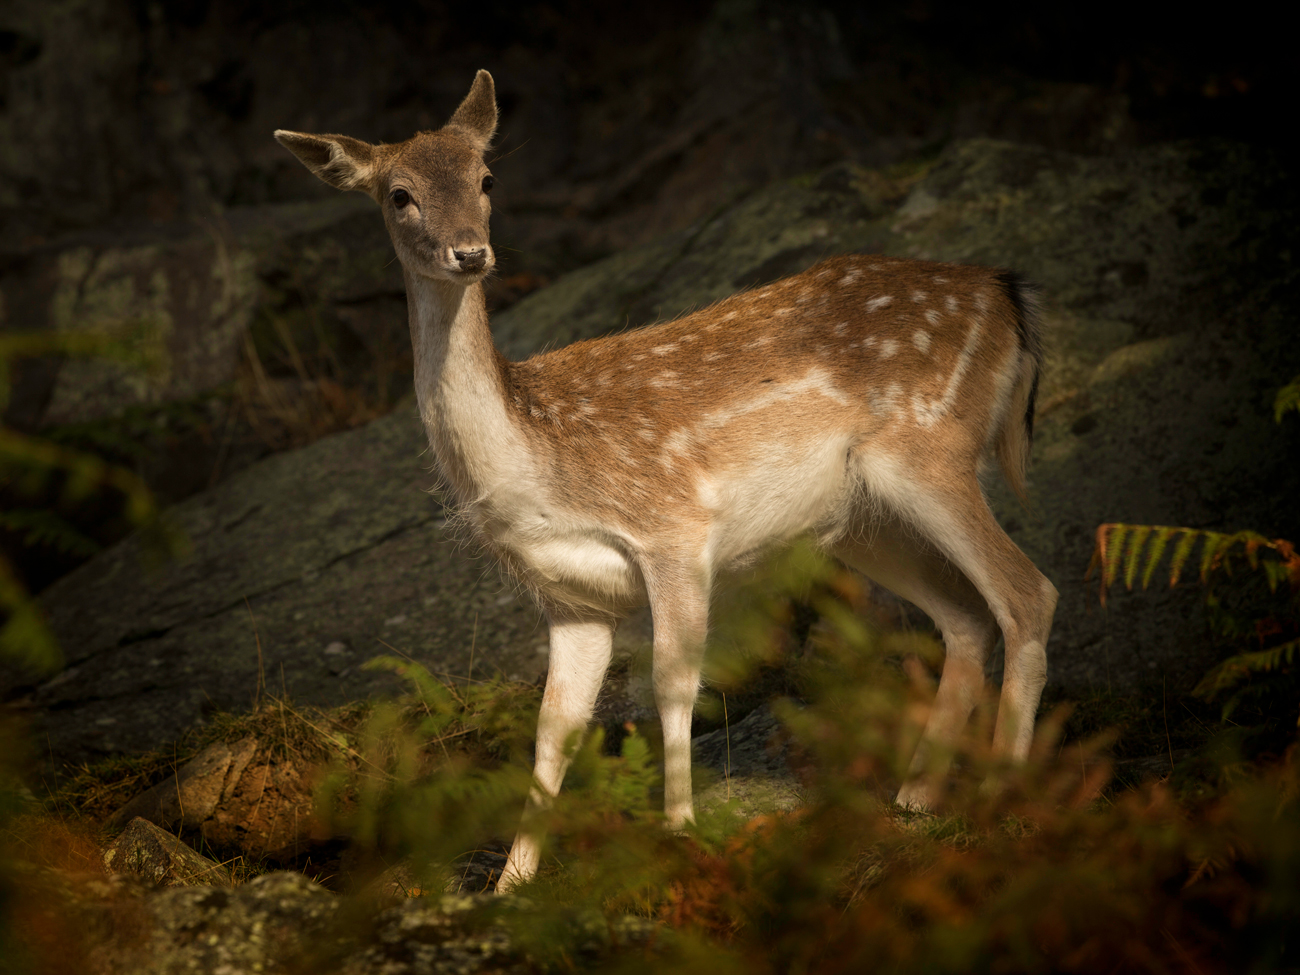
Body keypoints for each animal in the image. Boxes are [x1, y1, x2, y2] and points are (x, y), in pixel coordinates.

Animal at [275, 69, 1058, 892]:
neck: (540, 463)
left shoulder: (674, 528)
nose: (470, 253)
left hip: (930, 448)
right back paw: (913, 802)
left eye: (486, 178)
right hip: (861, 519)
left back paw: (1002, 800)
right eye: (399, 194)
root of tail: (1009, 296)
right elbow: (554, 730)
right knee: (966, 617)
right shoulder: (570, 600)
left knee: (1026, 593)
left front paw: (679, 832)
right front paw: (511, 885)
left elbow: (674, 682)